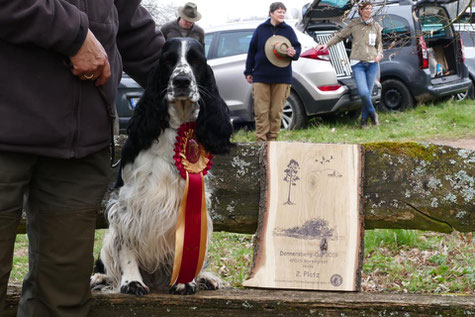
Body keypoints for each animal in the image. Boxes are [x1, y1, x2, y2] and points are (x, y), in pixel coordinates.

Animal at [90, 38, 233, 296]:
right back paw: (98, 278)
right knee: (108, 261)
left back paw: (206, 278)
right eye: (168, 61)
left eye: (196, 60)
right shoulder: (127, 201)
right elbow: (126, 246)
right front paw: (132, 282)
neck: (177, 128)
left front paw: (185, 281)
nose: (181, 80)